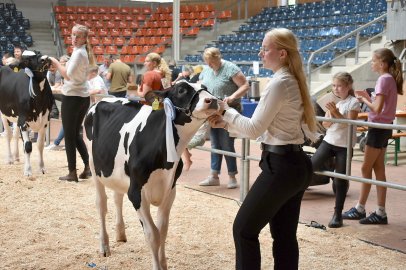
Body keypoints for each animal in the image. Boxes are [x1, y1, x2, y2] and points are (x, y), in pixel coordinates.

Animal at [84, 81, 220, 270]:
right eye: (181, 89)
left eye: (205, 87)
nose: (212, 100)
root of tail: (103, 100)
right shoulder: (136, 193)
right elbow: (153, 234)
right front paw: (157, 265)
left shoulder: (170, 190)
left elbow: (163, 230)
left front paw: (163, 263)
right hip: (94, 165)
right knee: (101, 205)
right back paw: (104, 246)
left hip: (117, 173)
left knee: (117, 198)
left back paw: (120, 234)